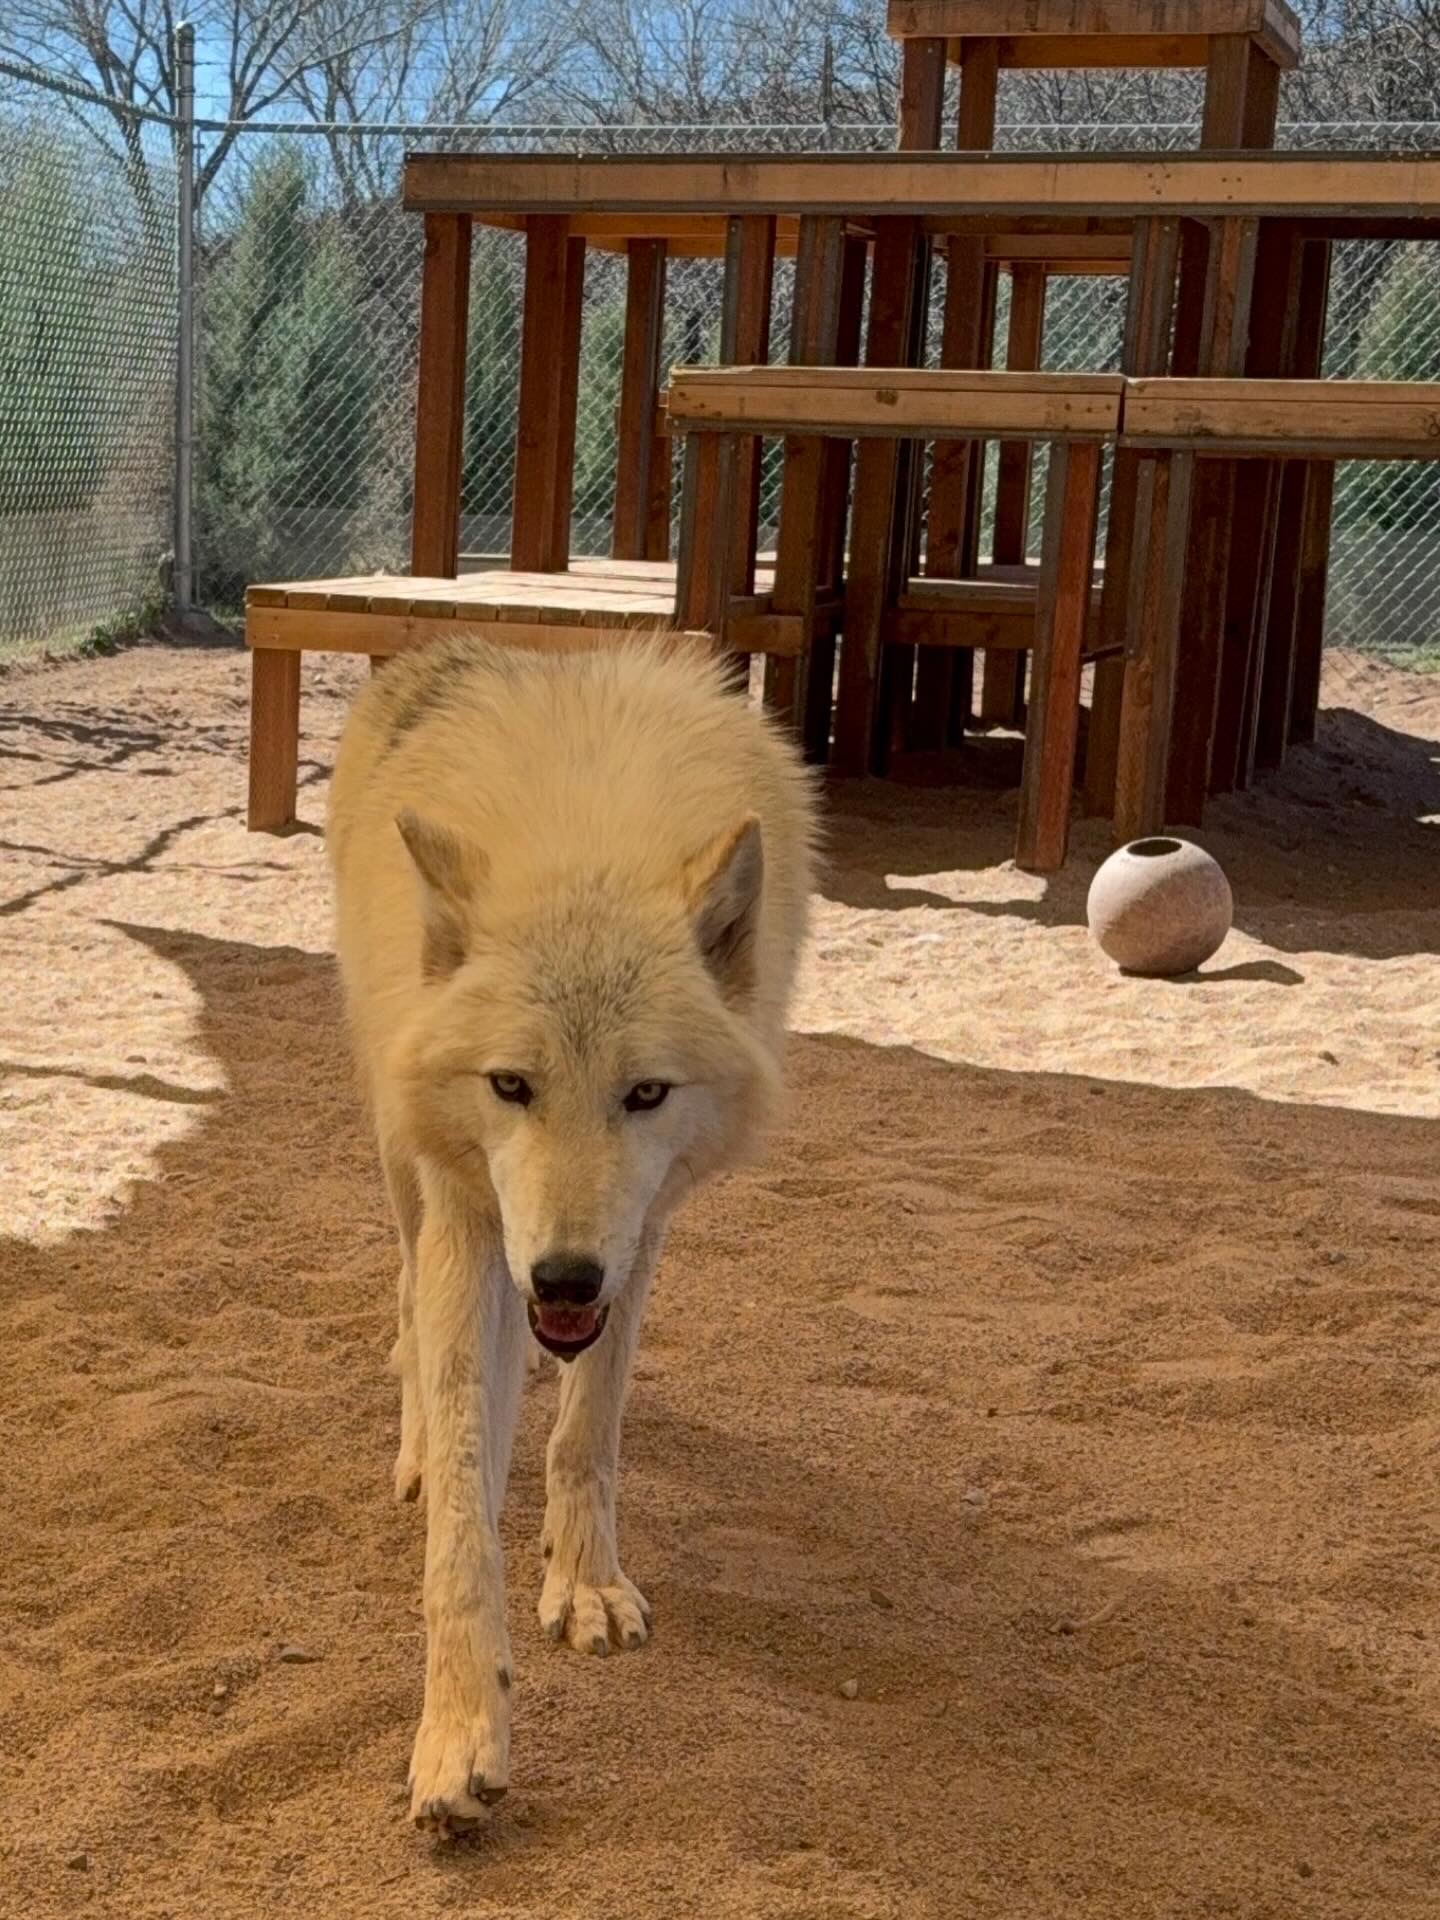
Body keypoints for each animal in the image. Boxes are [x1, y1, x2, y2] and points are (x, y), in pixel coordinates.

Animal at [326, 633, 816, 1835]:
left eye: (645, 1093)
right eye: (512, 1085)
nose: (560, 1275)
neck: (586, 836)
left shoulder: (639, 1234)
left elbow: (587, 1428)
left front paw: (584, 1581)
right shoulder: (471, 1221)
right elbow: (464, 1515)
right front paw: (461, 1734)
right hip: (403, 1156)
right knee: (407, 1304)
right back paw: (414, 1444)